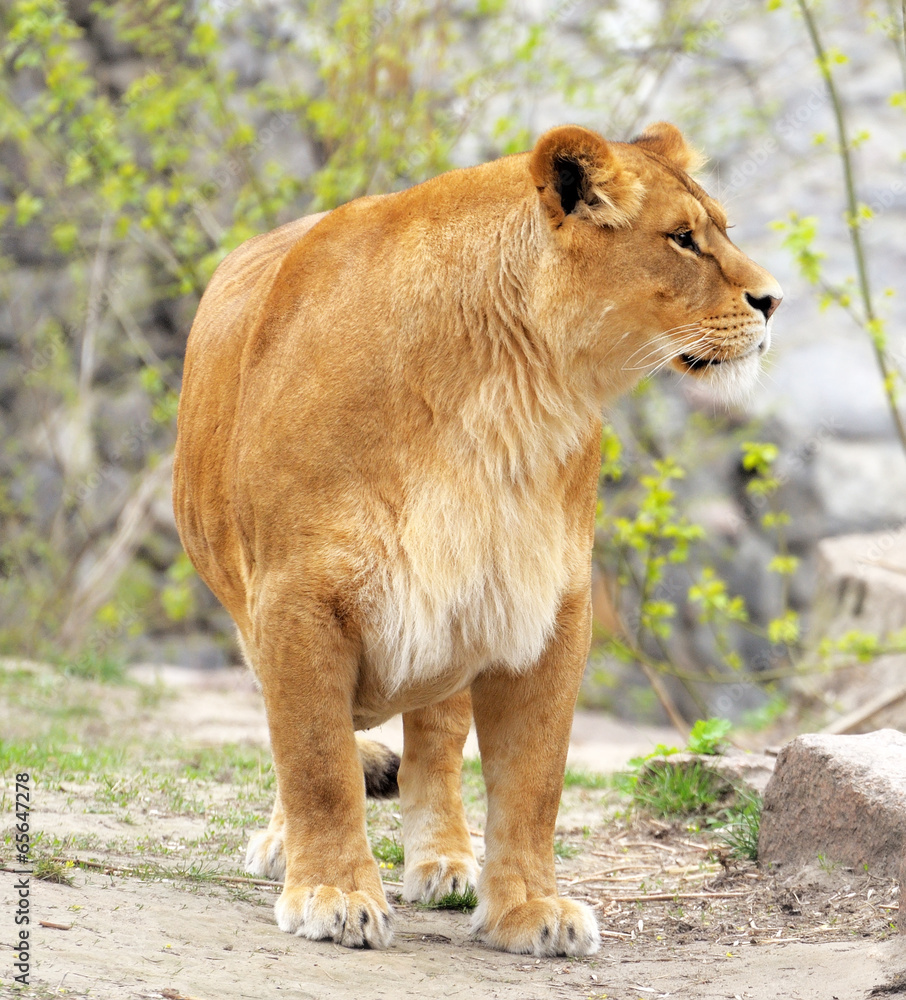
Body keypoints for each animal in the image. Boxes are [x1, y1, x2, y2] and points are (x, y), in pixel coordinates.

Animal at [172, 122, 781, 956]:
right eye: (683, 239)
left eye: (720, 228)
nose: (773, 299)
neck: (505, 391)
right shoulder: (296, 597)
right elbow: (315, 758)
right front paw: (332, 892)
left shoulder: (544, 600)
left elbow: (534, 780)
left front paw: (529, 909)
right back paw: (284, 844)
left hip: (454, 603)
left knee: (435, 735)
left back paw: (445, 862)